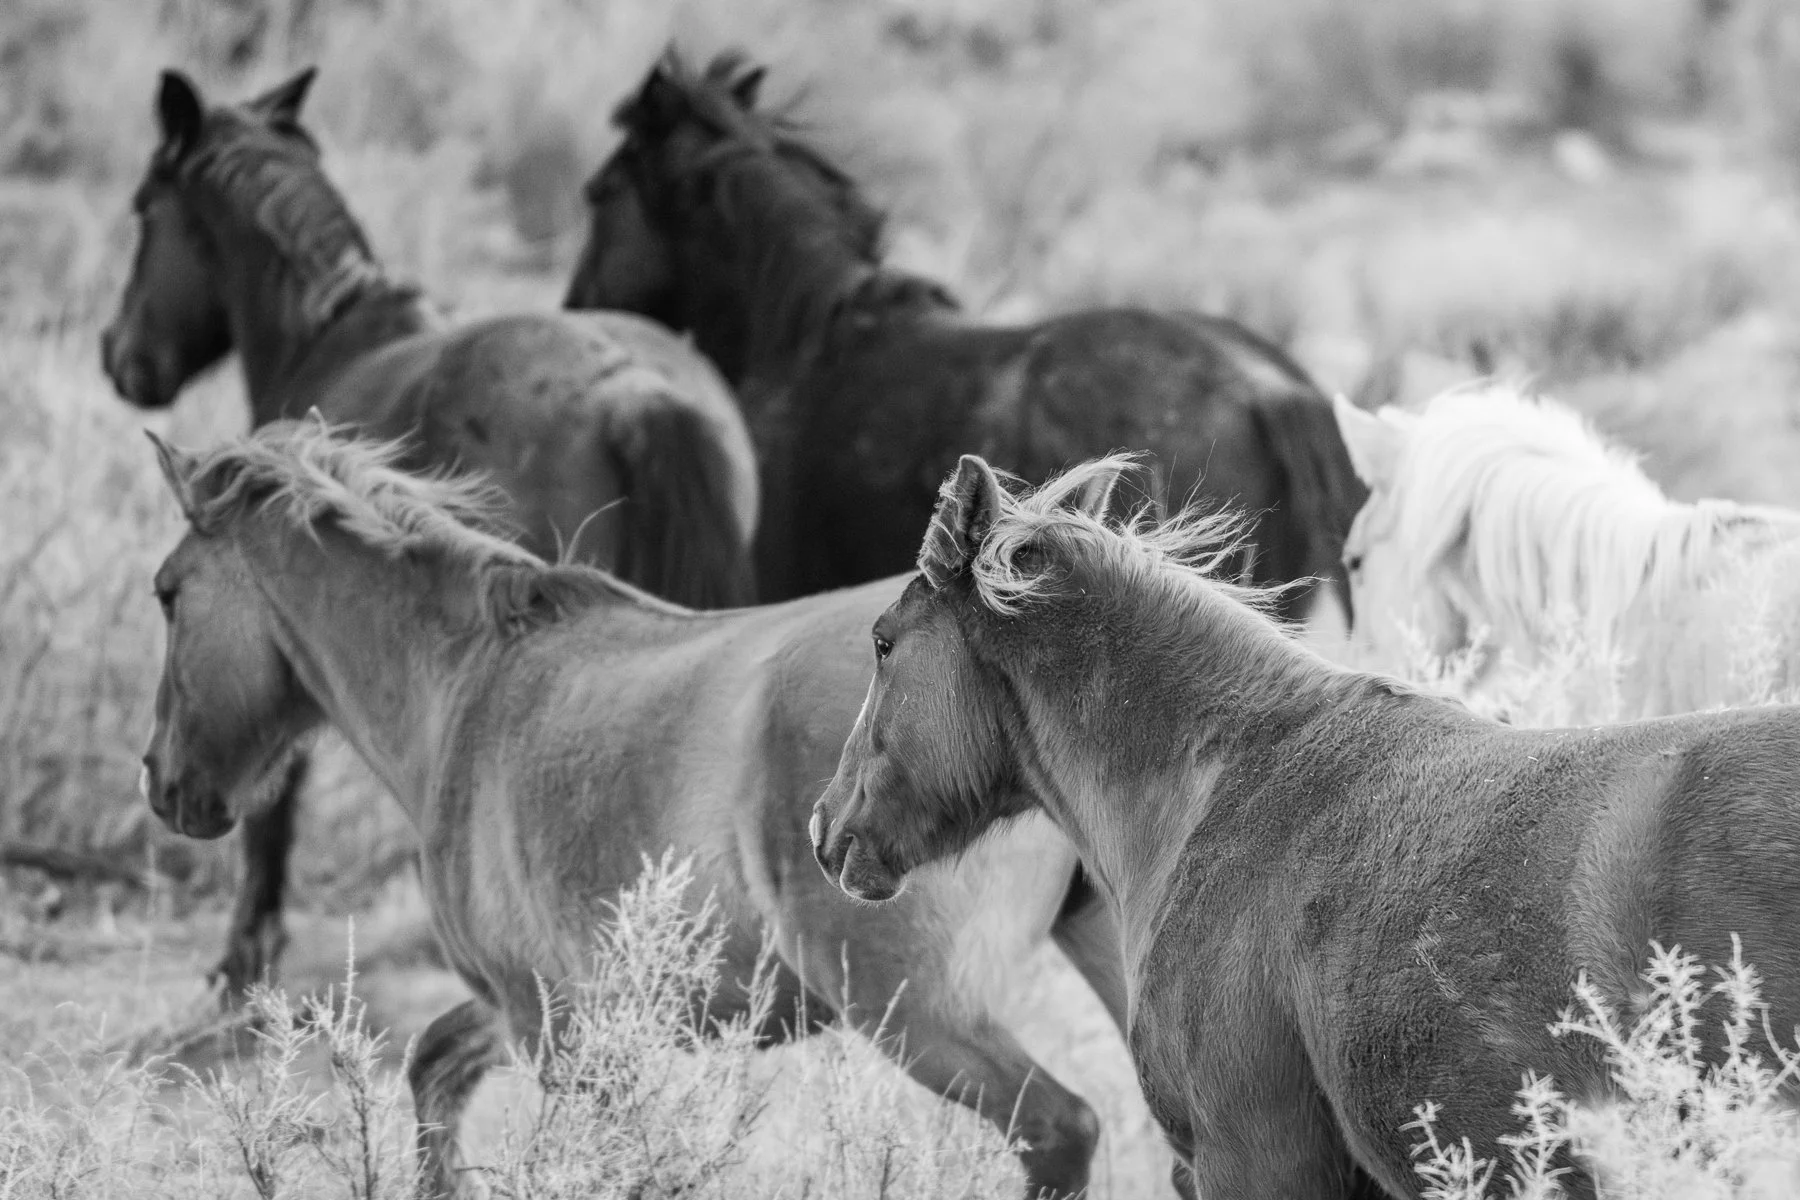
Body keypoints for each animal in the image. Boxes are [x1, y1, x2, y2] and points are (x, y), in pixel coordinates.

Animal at [100, 68, 760, 1000]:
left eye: (144, 207)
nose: (119, 357)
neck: (329, 334)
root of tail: (637, 390)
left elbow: (279, 797)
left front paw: (245, 955)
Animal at [137, 419, 1136, 1200]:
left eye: (168, 594)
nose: (162, 781)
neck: (471, 688)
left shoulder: (558, 1034)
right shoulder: (536, 1010)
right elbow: (433, 1069)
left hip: (917, 1011)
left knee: (1062, 1130)